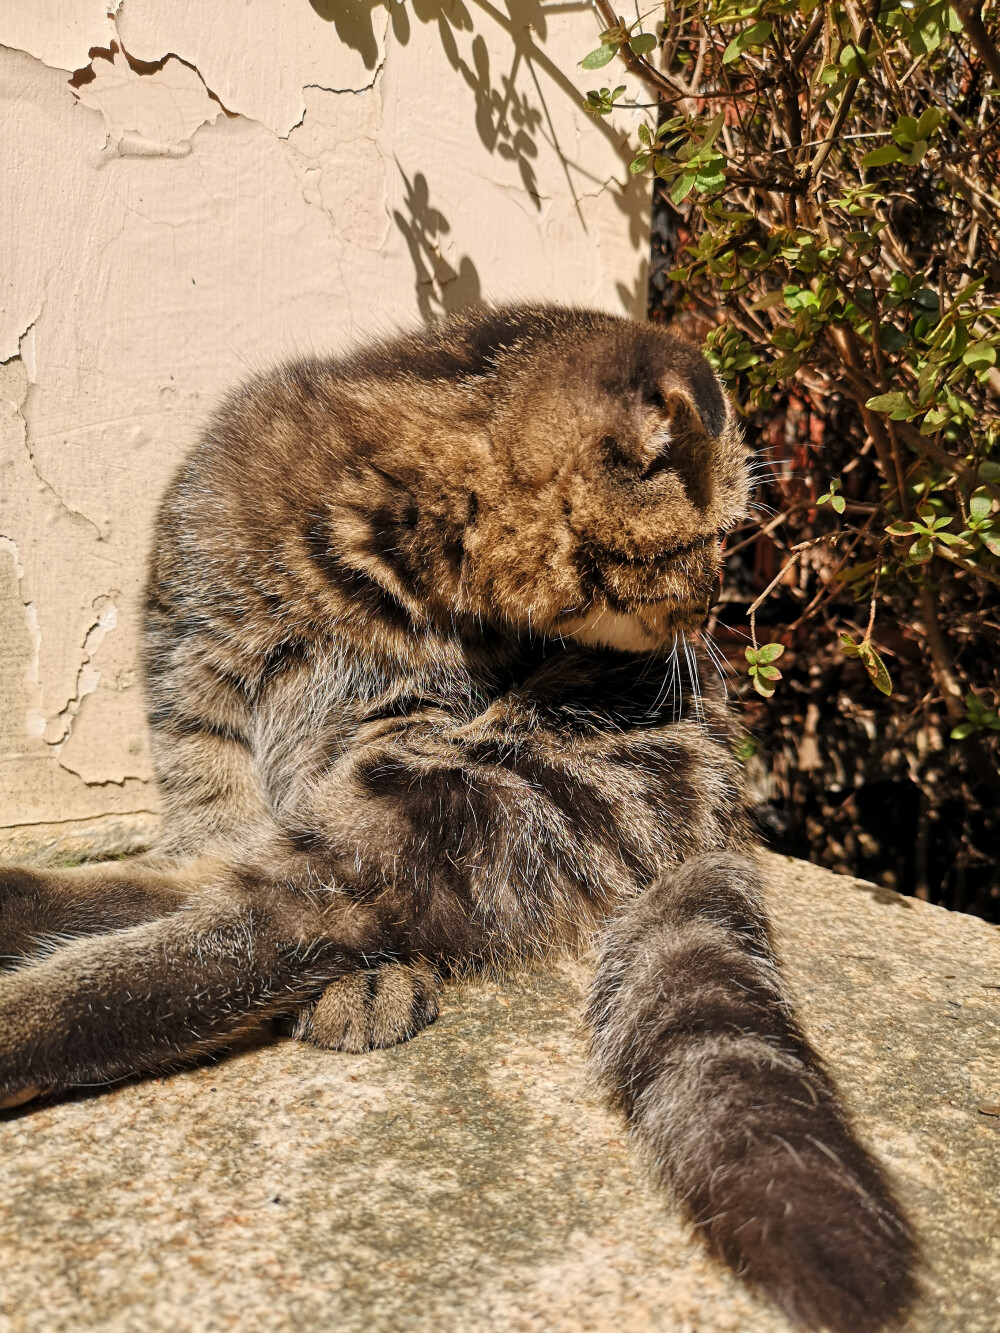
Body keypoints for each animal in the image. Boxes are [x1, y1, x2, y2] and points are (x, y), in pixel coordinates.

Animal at [0, 309, 922, 1333]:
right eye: (718, 535)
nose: (722, 603)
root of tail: (724, 795)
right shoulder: (196, 677)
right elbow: (206, 819)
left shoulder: (395, 732)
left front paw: (360, 985)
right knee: (212, 893)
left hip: (463, 790)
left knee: (261, 923)